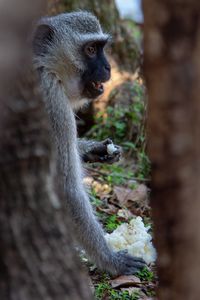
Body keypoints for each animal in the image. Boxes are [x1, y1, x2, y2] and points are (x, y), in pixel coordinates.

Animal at [32, 11, 145, 274]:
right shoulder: (53, 104)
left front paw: (97, 149)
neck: (46, 67)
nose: (108, 67)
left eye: (101, 48)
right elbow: (64, 188)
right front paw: (111, 260)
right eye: (91, 49)